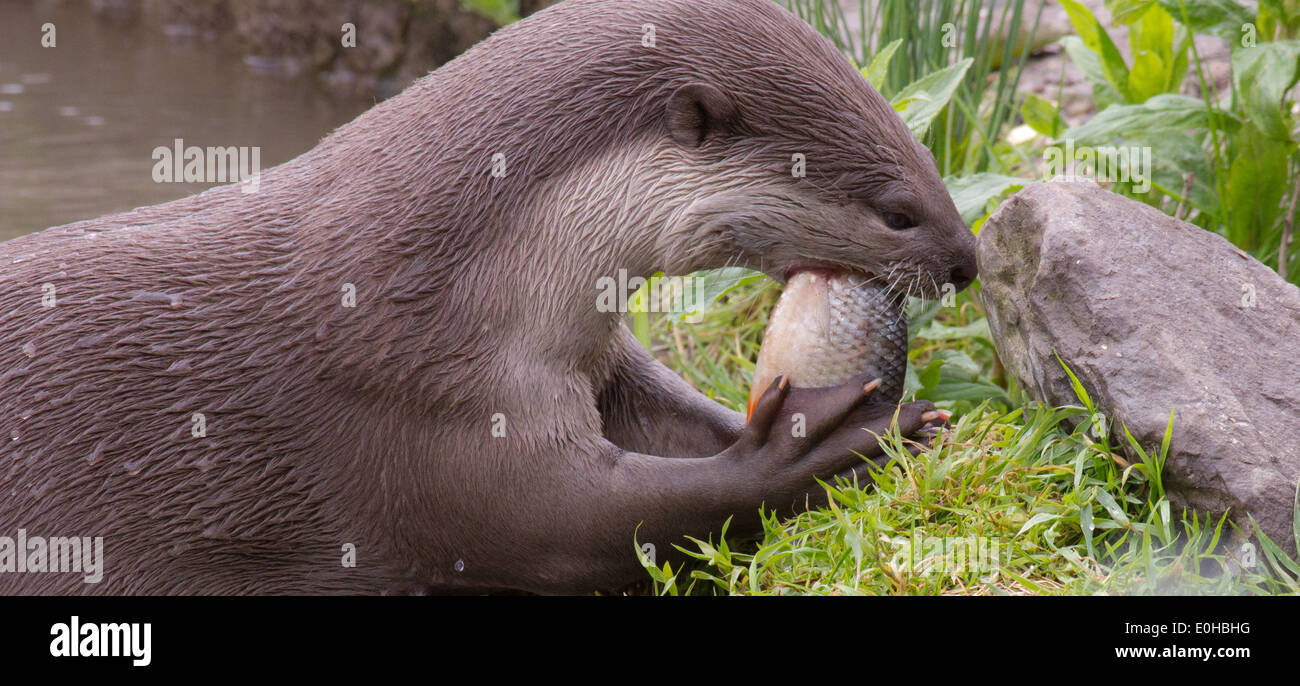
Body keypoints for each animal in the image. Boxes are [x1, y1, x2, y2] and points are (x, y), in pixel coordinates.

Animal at [0, 0, 977, 592]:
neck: (427, 279)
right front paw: (820, 446)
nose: (968, 260)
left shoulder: (591, 358)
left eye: (927, 159)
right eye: (898, 212)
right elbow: (570, 525)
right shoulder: (413, 398)